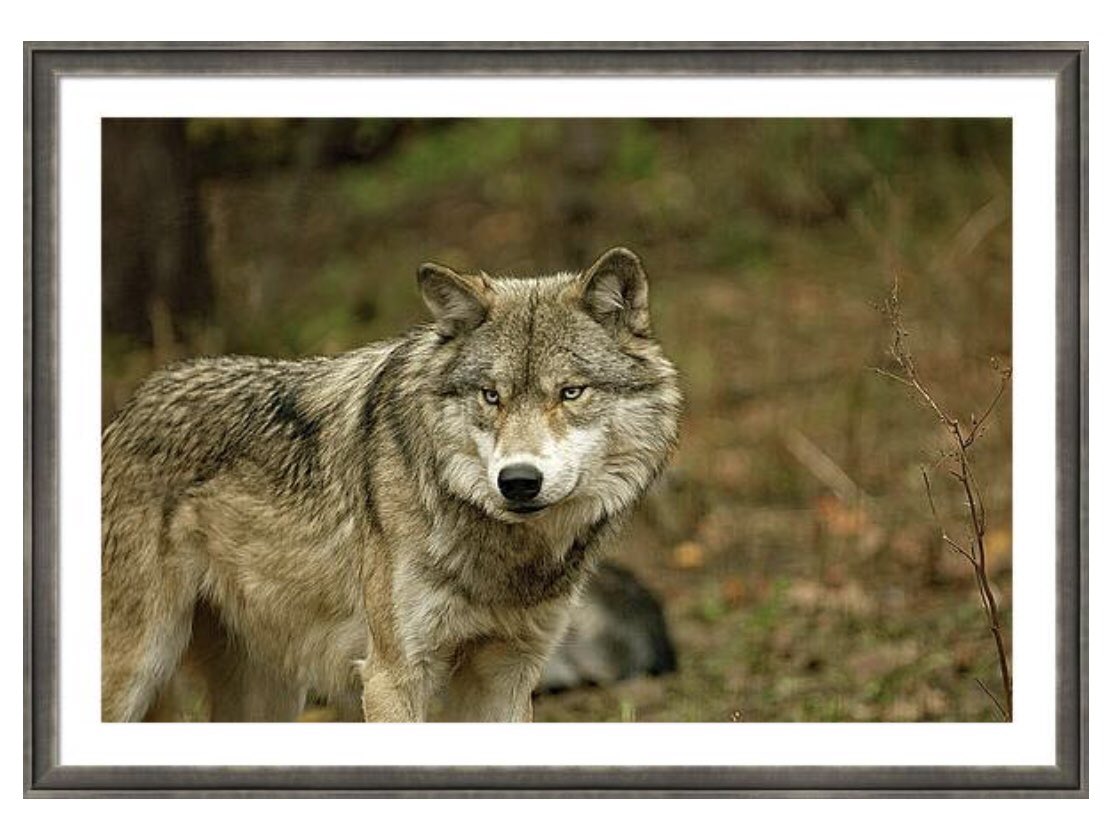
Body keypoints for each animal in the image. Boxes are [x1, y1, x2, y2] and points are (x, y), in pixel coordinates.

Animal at [101, 246, 682, 722]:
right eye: (490, 396)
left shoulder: (508, 673)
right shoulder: (392, 675)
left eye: (570, 392)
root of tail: (130, 408)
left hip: (267, 695)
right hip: (137, 672)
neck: (503, 557)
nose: (517, 482)